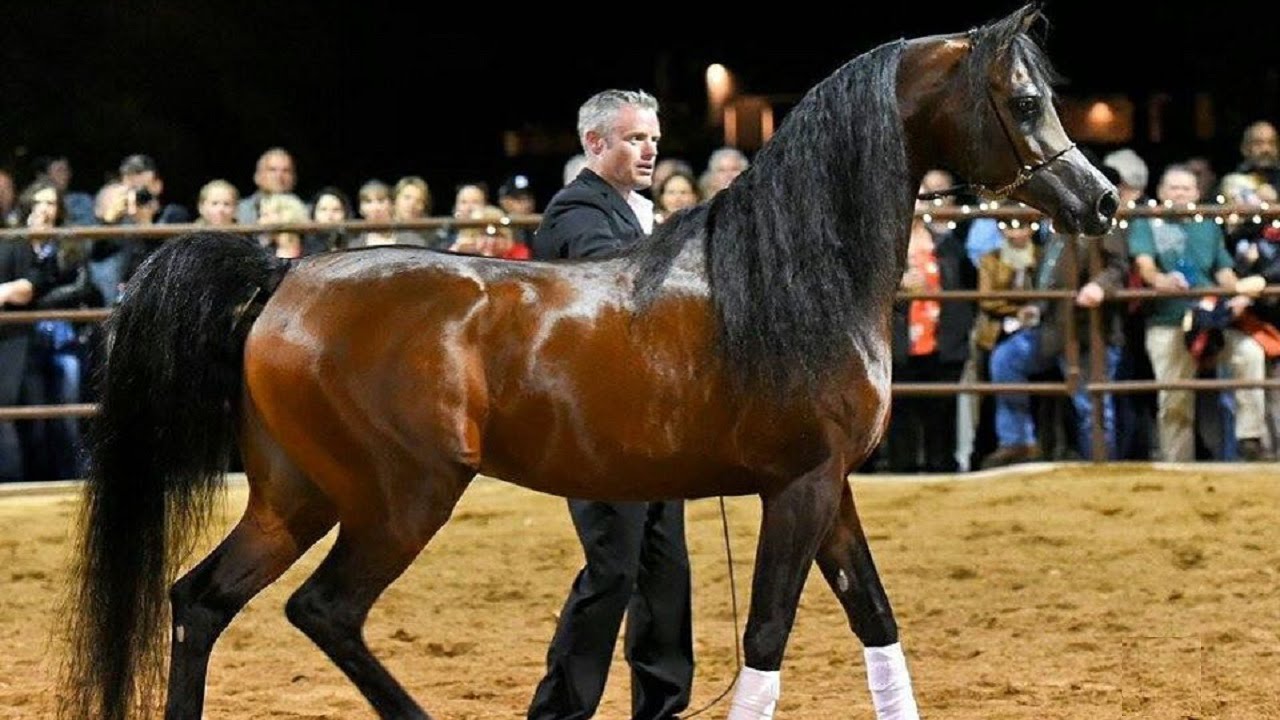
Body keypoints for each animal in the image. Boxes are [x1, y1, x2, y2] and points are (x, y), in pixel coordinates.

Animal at [63, 6, 1116, 719]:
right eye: (1025, 100)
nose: (1100, 201)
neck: (790, 277)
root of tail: (285, 279)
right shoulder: (800, 486)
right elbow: (769, 632)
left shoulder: (834, 487)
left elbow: (875, 617)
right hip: (398, 500)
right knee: (323, 611)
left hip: (294, 498)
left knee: (200, 601)